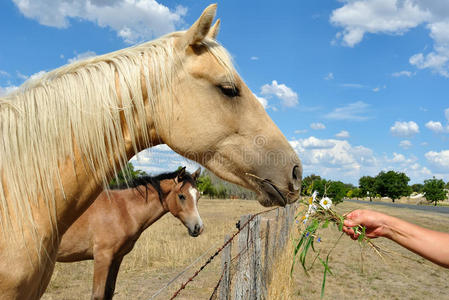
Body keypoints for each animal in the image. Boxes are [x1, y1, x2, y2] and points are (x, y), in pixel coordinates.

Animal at [56, 168, 201, 298]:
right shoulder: (102, 258)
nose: (198, 227)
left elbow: (109, 292)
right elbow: (98, 295)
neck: (121, 209)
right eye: (181, 196)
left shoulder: (117, 258)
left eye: (198, 196)